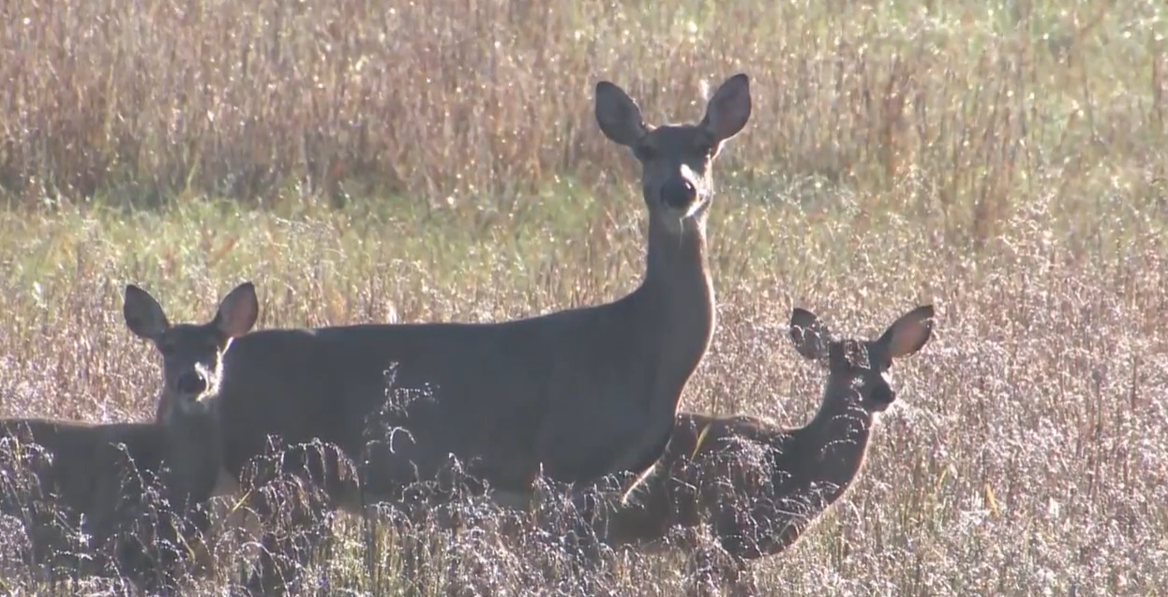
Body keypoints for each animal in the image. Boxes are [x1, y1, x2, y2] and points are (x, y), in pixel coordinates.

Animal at [197, 73, 751, 593]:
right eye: (646, 148)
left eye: (705, 146)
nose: (678, 191)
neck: (641, 347)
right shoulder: (567, 468)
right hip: (289, 482)